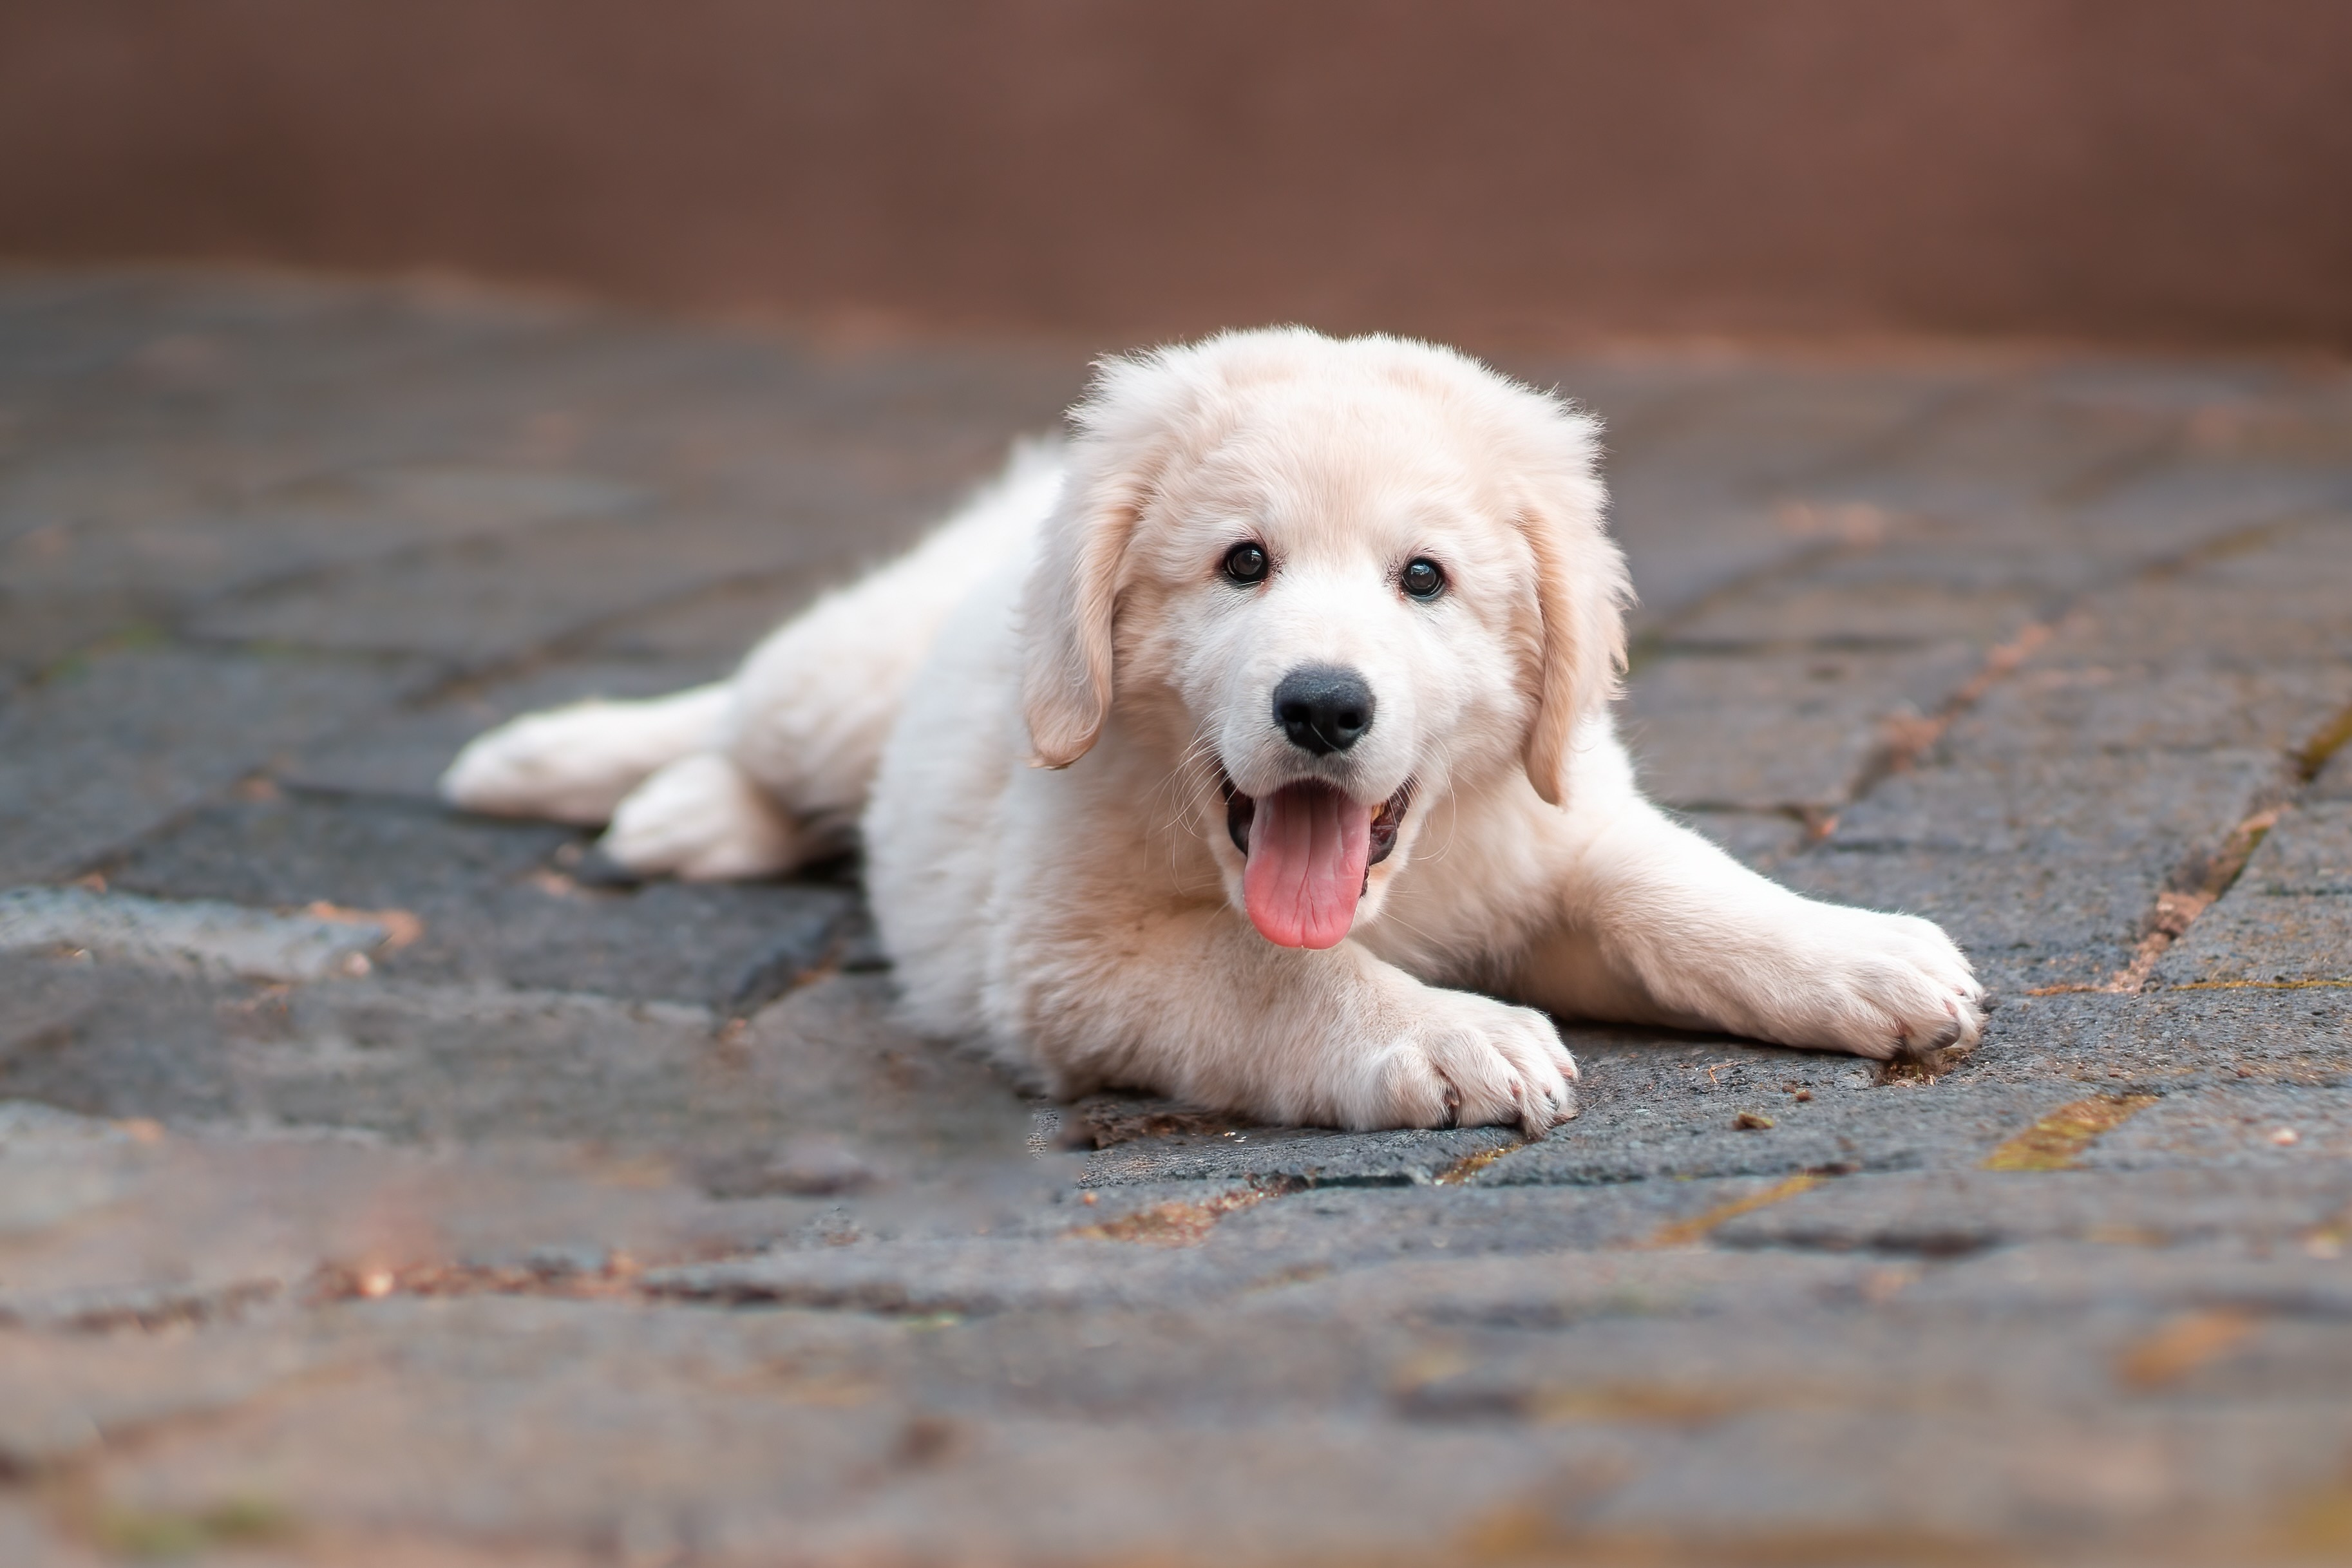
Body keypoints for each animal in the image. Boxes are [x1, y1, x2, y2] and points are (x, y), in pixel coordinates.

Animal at [444, 334, 1985, 1142]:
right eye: (1243, 564)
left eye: (1422, 578)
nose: (1321, 706)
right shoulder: (1068, 958)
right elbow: (1274, 973)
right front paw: (1447, 1035)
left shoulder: (1554, 824)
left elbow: (1671, 885)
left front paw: (1854, 954)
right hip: (836, 682)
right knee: (748, 714)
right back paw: (623, 786)